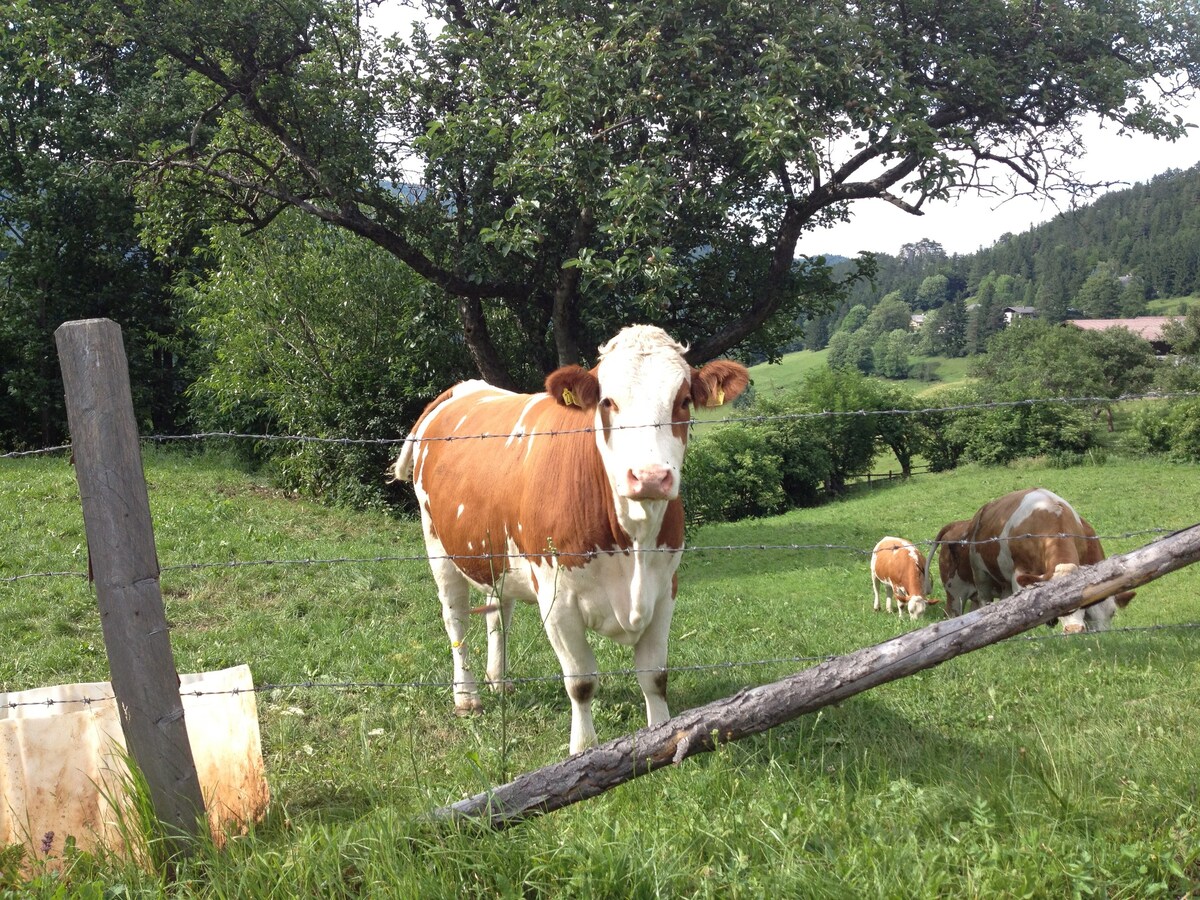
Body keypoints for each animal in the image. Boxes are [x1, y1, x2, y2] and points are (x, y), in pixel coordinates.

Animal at [393, 324, 748, 753]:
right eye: (608, 402)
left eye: (682, 401)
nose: (649, 477)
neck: (632, 543)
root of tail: (463, 388)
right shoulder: (557, 598)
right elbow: (581, 682)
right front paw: (582, 749)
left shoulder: (665, 588)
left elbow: (655, 675)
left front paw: (661, 736)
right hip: (438, 547)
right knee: (456, 619)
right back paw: (467, 697)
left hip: (495, 554)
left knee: (499, 611)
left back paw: (500, 681)